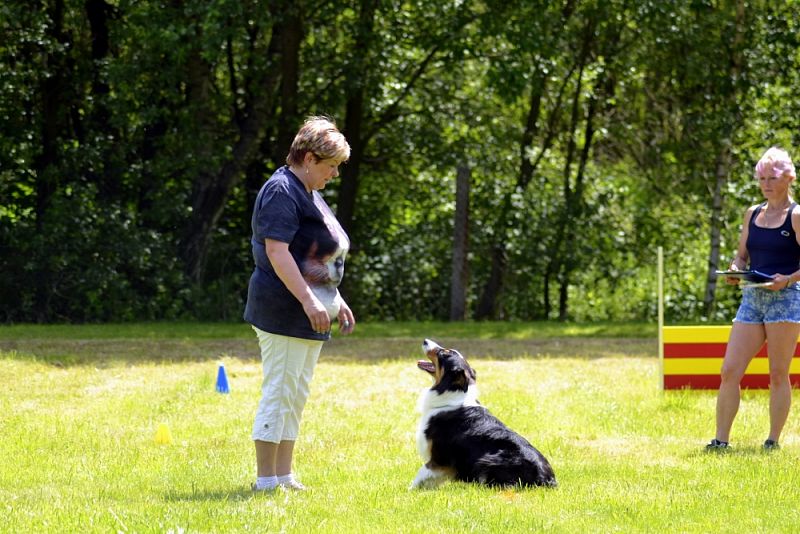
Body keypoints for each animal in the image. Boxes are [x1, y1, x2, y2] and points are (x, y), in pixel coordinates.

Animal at [412, 342, 556, 492]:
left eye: (444, 353)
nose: (425, 341)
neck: (452, 394)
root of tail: (547, 480)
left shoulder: (439, 458)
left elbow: (420, 475)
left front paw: (410, 492)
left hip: (487, 460)